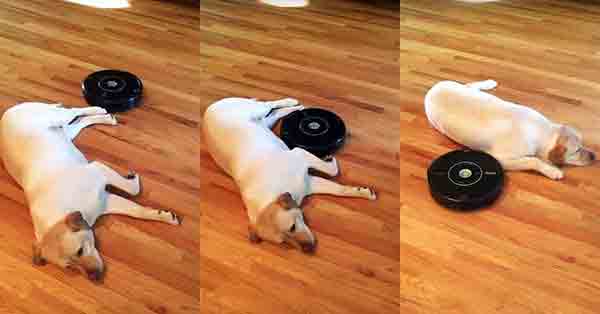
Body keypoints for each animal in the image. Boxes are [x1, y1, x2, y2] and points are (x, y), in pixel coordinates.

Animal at [0, 103, 180, 282]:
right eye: (70, 267)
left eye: (80, 251)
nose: (95, 277)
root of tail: (8, 112)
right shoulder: (106, 201)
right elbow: (137, 210)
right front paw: (164, 215)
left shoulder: (99, 170)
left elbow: (134, 190)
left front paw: (133, 179)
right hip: (65, 133)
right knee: (80, 122)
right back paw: (106, 118)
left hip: (56, 117)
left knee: (75, 111)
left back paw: (100, 110)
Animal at [204, 97, 378, 253]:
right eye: (284, 242)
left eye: (293, 227)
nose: (308, 249)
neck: (271, 196)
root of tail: (209, 109)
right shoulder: (309, 183)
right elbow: (338, 189)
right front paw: (363, 192)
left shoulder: (300, 154)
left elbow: (333, 171)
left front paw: (331, 160)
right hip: (263, 123)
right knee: (274, 114)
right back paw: (293, 108)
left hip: (255, 110)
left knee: (269, 104)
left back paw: (292, 103)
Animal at [426, 79, 596, 180]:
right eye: (576, 150)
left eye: (582, 144)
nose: (594, 156)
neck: (543, 131)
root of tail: (433, 89)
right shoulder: (500, 158)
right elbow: (532, 160)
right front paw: (552, 170)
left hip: (466, 89)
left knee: (470, 85)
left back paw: (489, 83)